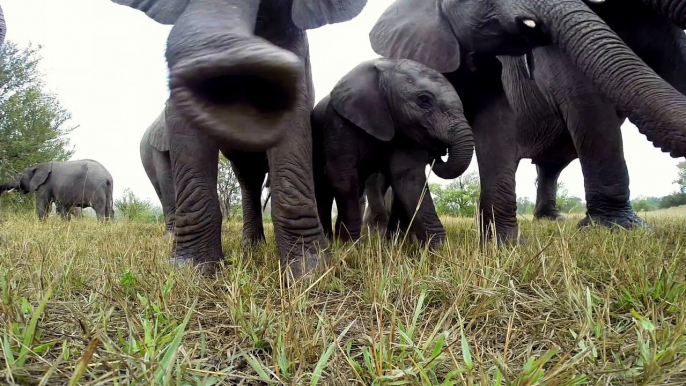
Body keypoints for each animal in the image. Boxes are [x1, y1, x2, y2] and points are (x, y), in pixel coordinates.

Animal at [314, 58, 476, 249]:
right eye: (424, 100)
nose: (438, 152)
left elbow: (409, 179)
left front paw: (440, 250)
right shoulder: (338, 120)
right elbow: (342, 177)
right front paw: (352, 248)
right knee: (324, 189)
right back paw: (329, 241)